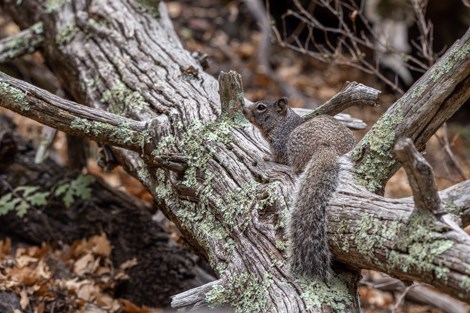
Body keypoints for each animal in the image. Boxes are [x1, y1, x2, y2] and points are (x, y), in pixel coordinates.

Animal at [244, 96, 354, 282]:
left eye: (261, 107)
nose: (244, 110)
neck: (283, 123)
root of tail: (327, 146)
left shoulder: (280, 145)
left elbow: (277, 157)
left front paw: (266, 156)